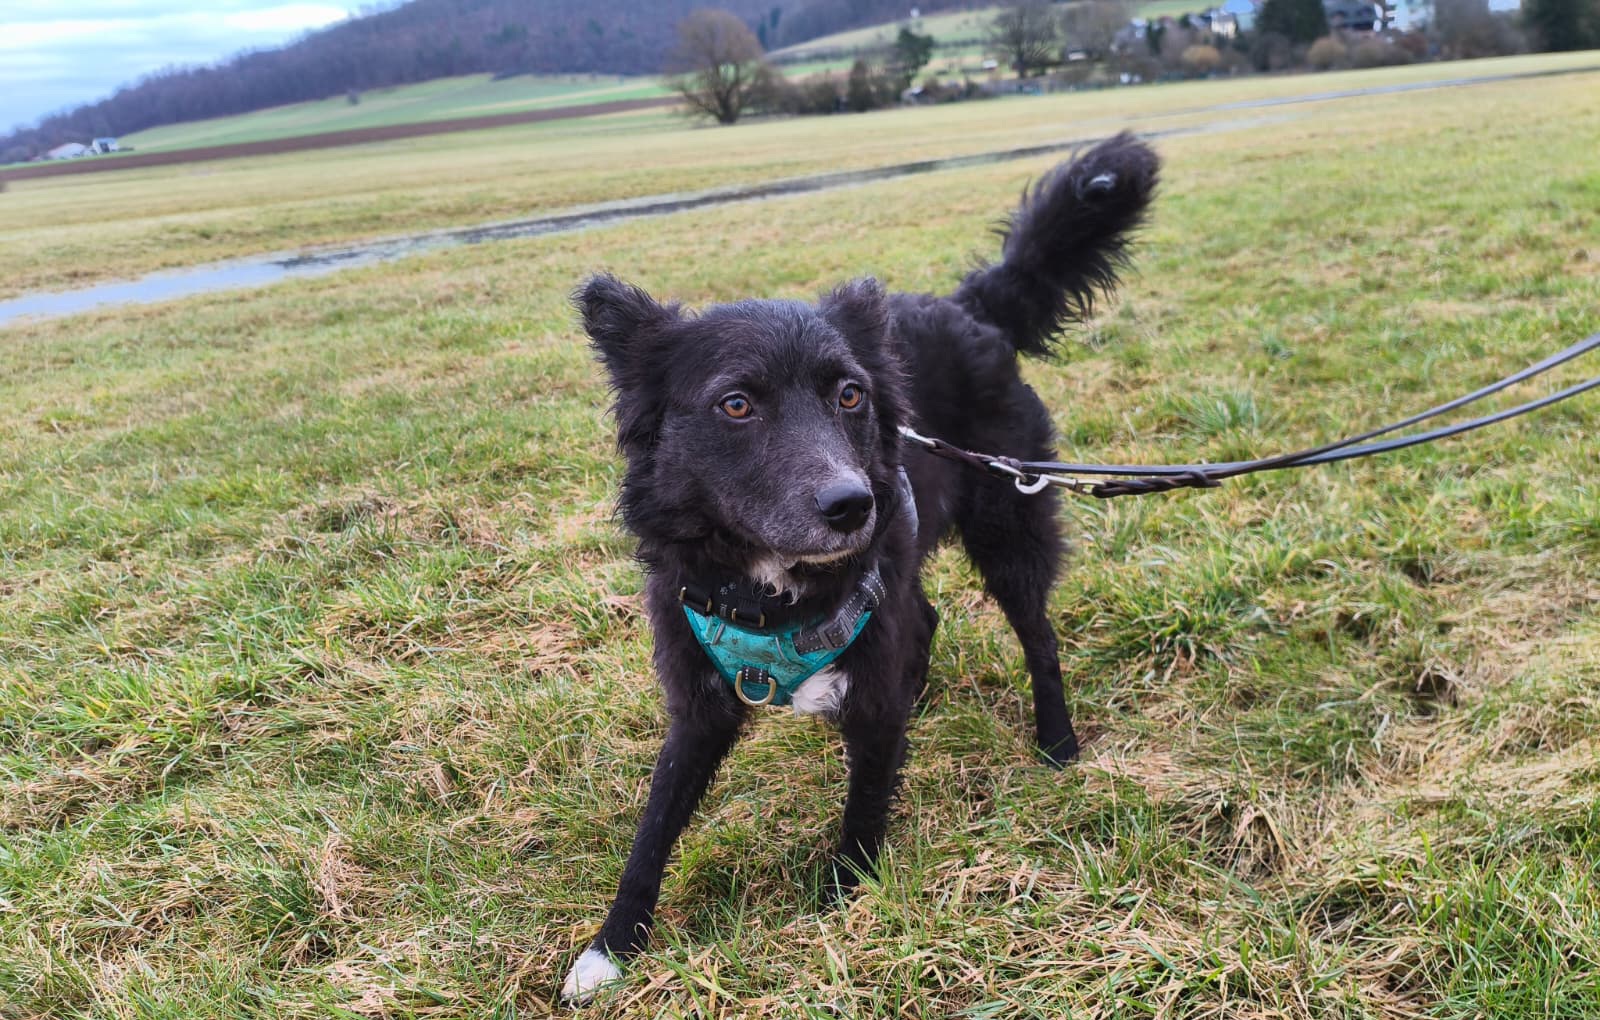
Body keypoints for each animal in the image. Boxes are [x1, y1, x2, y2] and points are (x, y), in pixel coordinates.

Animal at [562, 132, 1159, 1002]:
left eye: (849, 395)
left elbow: (867, 794)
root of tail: (969, 307)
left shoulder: (871, 676)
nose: (853, 506)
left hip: (1008, 526)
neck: (771, 591)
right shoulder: (698, 698)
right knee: (930, 616)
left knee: (1037, 636)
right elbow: (656, 821)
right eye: (736, 404)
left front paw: (846, 896)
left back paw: (1056, 740)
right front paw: (611, 945)